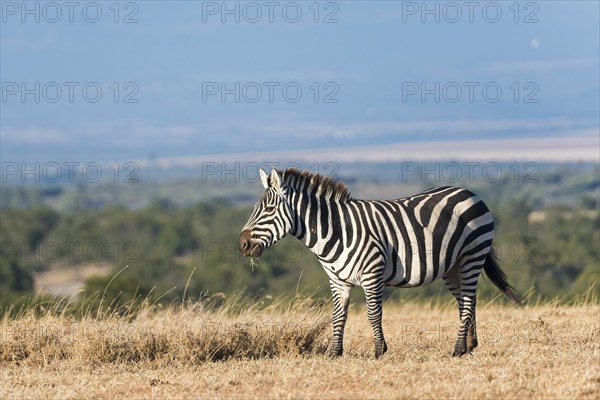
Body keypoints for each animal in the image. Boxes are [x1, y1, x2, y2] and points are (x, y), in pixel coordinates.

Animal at [239, 167, 520, 358]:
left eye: (267, 210)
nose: (242, 244)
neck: (336, 230)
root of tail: (470, 193)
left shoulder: (372, 273)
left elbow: (374, 314)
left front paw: (378, 350)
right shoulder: (337, 280)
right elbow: (338, 316)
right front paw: (334, 352)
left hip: (472, 255)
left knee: (469, 301)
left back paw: (459, 349)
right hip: (452, 267)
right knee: (465, 302)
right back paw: (470, 346)